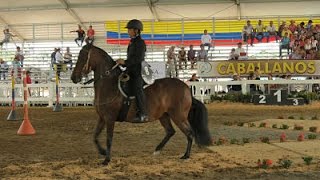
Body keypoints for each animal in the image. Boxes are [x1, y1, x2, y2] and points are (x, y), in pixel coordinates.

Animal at [71, 44, 211, 165]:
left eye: (83, 57)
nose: (74, 78)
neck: (109, 84)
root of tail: (186, 88)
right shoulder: (102, 118)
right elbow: (94, 136)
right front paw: (103, 152)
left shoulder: (110, 118)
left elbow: (109, 138)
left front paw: (106, 160)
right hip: (164, 115)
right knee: (170, 131)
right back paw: (157, 150)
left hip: (178, 116)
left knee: (189, 133)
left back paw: (186, 155)